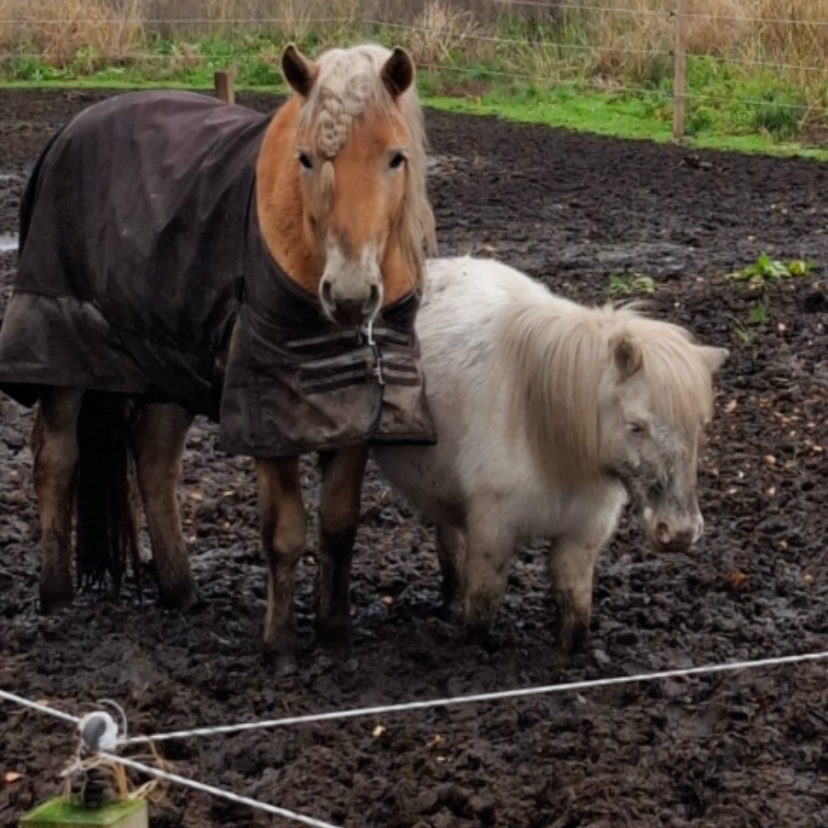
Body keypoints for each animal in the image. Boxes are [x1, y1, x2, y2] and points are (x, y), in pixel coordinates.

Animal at [0, 43, 437, 674]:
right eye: (306, 159)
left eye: (395, 157)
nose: (351, 295)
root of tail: (69, 130)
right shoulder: (265, 410)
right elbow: (285, 530)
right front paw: (279, 646)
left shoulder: (356, 407)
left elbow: (338, 523)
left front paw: (335, 631)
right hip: (60, 347)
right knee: (55, 458)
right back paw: (56, 597)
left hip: (167, 359)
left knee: (154, 458)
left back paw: (180, 591)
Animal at [372, 256, 728, 653]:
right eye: (635, 425)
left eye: (700, 425)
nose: (679, 532)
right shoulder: (493, 533)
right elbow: (483, 606)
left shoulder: (579, 541)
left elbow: (574, 612)